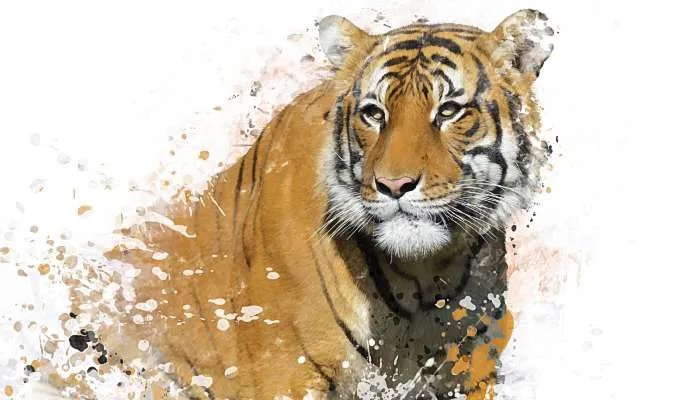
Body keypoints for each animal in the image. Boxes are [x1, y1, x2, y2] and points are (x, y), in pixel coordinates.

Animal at [94, 8, 554, 400]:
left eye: (449, 110)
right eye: (374, 113)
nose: (394, 185)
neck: (422, 278)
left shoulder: (470, 371)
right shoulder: (283, 371)